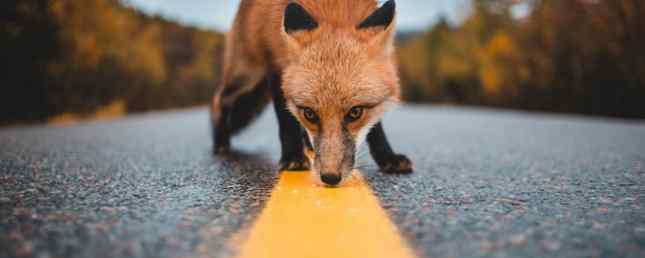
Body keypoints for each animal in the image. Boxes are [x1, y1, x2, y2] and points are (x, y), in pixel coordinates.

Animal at [211, 0, 412, 185]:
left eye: (355, 112)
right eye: (310, 114)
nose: (330, 178)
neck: (334, 9)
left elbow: (376, 126)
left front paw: (387, 157)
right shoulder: (276, 66)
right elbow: (286, 120)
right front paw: (292, 157)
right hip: (247, 75)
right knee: (219, 99)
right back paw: (220, 142)